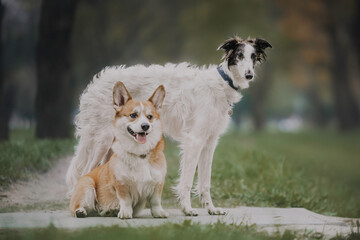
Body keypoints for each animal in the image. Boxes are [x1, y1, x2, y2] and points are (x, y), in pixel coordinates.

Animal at [68, 81, 167, 218]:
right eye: (133, 115)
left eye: (150, 117)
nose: (145, 126)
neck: (139, 153)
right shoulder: (121, 184)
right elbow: (125, 200)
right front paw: (125, 213)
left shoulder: (157, 183)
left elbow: (156, 201)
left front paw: (159, 213)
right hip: (88, 183)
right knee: (79, 206)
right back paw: (81, 211)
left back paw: (109, 211)